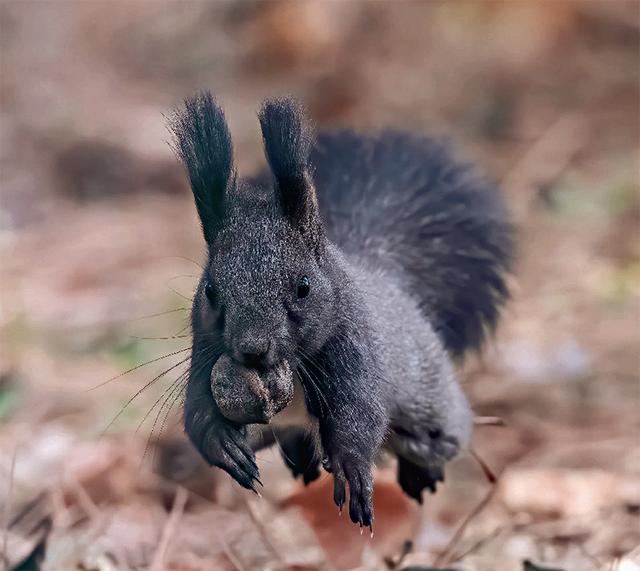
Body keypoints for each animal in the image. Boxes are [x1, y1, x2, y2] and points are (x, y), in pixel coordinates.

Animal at [168, 91, 512, 528]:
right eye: (210, 290)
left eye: (303, 287)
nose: (251, 349)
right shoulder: (204, 350)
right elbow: (197, 413)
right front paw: (223, 444)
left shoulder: (354, 348)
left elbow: (358, 417)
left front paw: (351, 470)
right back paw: (302, 459)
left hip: (429, 400)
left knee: (439, 436)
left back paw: (422, 472)